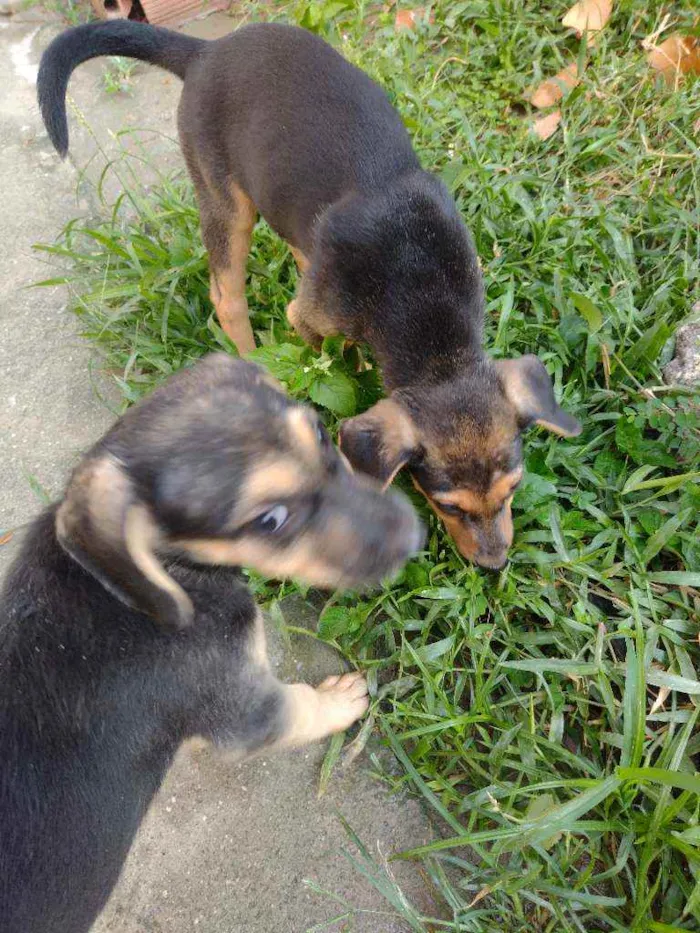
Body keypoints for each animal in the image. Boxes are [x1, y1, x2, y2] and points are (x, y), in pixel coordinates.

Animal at [0, 352, 422, 932]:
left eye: (319, 432)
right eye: (270, 520)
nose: (415, 536)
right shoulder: (245, 709)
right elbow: (302, 707)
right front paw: (342, 698)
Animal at [38, 20, 580, 568]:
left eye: (514, 489)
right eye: (446, 504)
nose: (495, 565)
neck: (424, 297)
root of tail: (207, 50)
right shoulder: (312, 317)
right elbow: (326, 358)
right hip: (225, 200)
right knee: (226, 296)